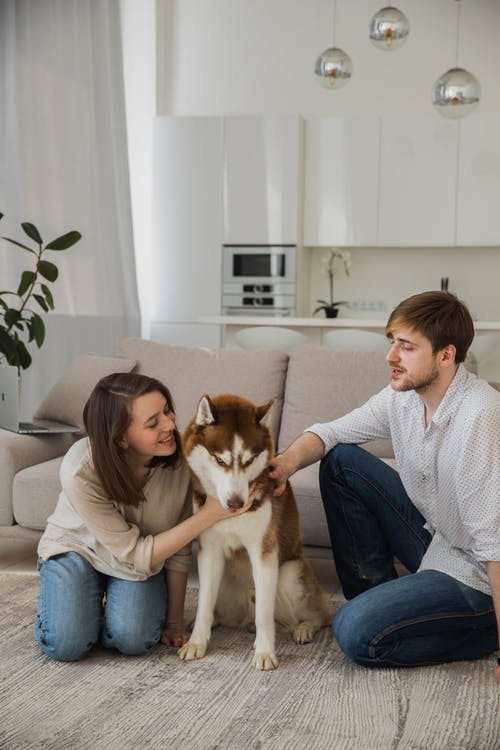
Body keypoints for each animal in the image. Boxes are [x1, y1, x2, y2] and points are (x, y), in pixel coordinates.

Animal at [178, 396, 334, 672]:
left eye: (249, 460)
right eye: (220, 460)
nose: (237, 503)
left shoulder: (264, 552)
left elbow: (264, 613)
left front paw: (264, 652)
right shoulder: (209, 552)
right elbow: (203, 605)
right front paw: (196, 641)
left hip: (289, 575)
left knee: (318, 613)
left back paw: (305, 628)